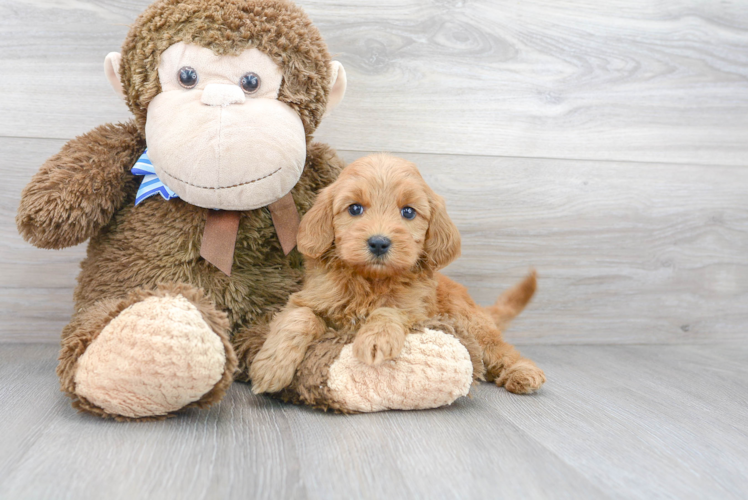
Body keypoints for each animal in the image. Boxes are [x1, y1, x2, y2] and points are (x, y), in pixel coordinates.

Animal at [248, 154, 548, 396]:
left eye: (408, 212)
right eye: (355, 208)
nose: (379, 243)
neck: (369, 281)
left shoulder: (416, 309)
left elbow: (389, 309)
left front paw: (375, 339)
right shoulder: (307, 298)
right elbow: (299, 318)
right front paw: (271, 366)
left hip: (472, 325)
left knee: (501, 350)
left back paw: (523, 373)